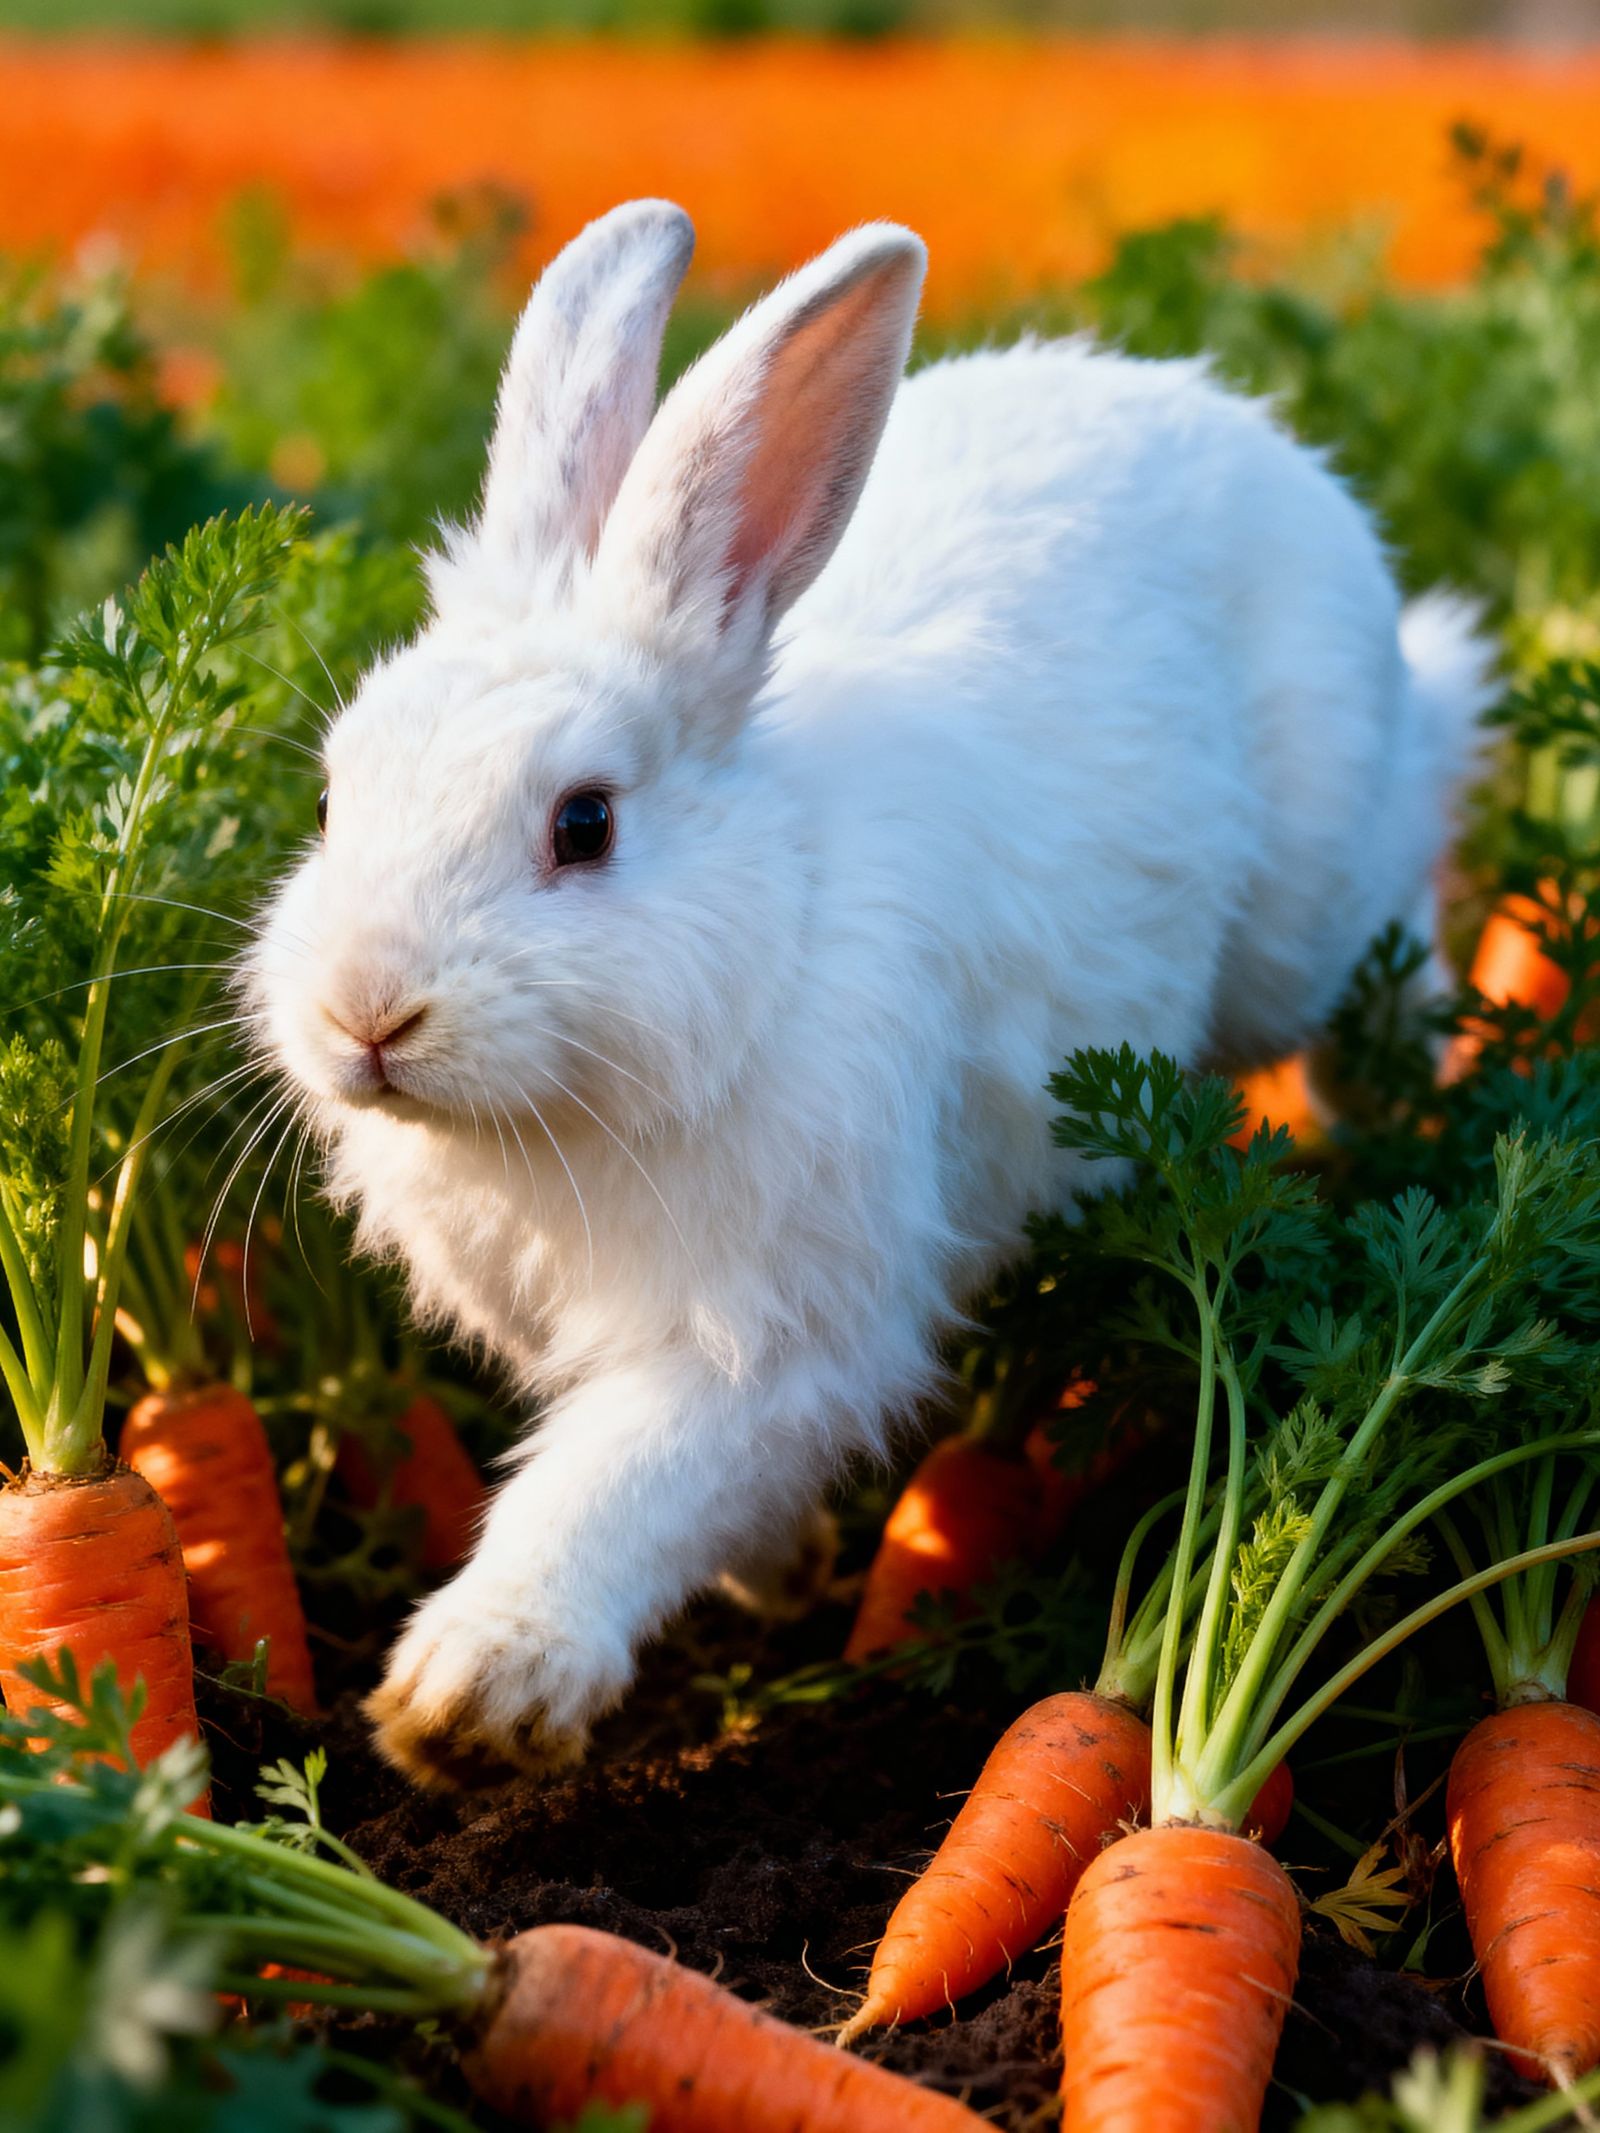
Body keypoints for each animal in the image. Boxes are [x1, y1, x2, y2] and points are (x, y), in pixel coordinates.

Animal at [249, 198, 1492, 1790]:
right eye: (331, 798)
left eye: (583, 824)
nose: (367, 1015)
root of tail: (1237, 428)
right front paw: (767, 1578)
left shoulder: (775, 1339)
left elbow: (618, 1485)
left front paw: (468, 1699)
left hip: (1310, 913)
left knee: (1403, 883)